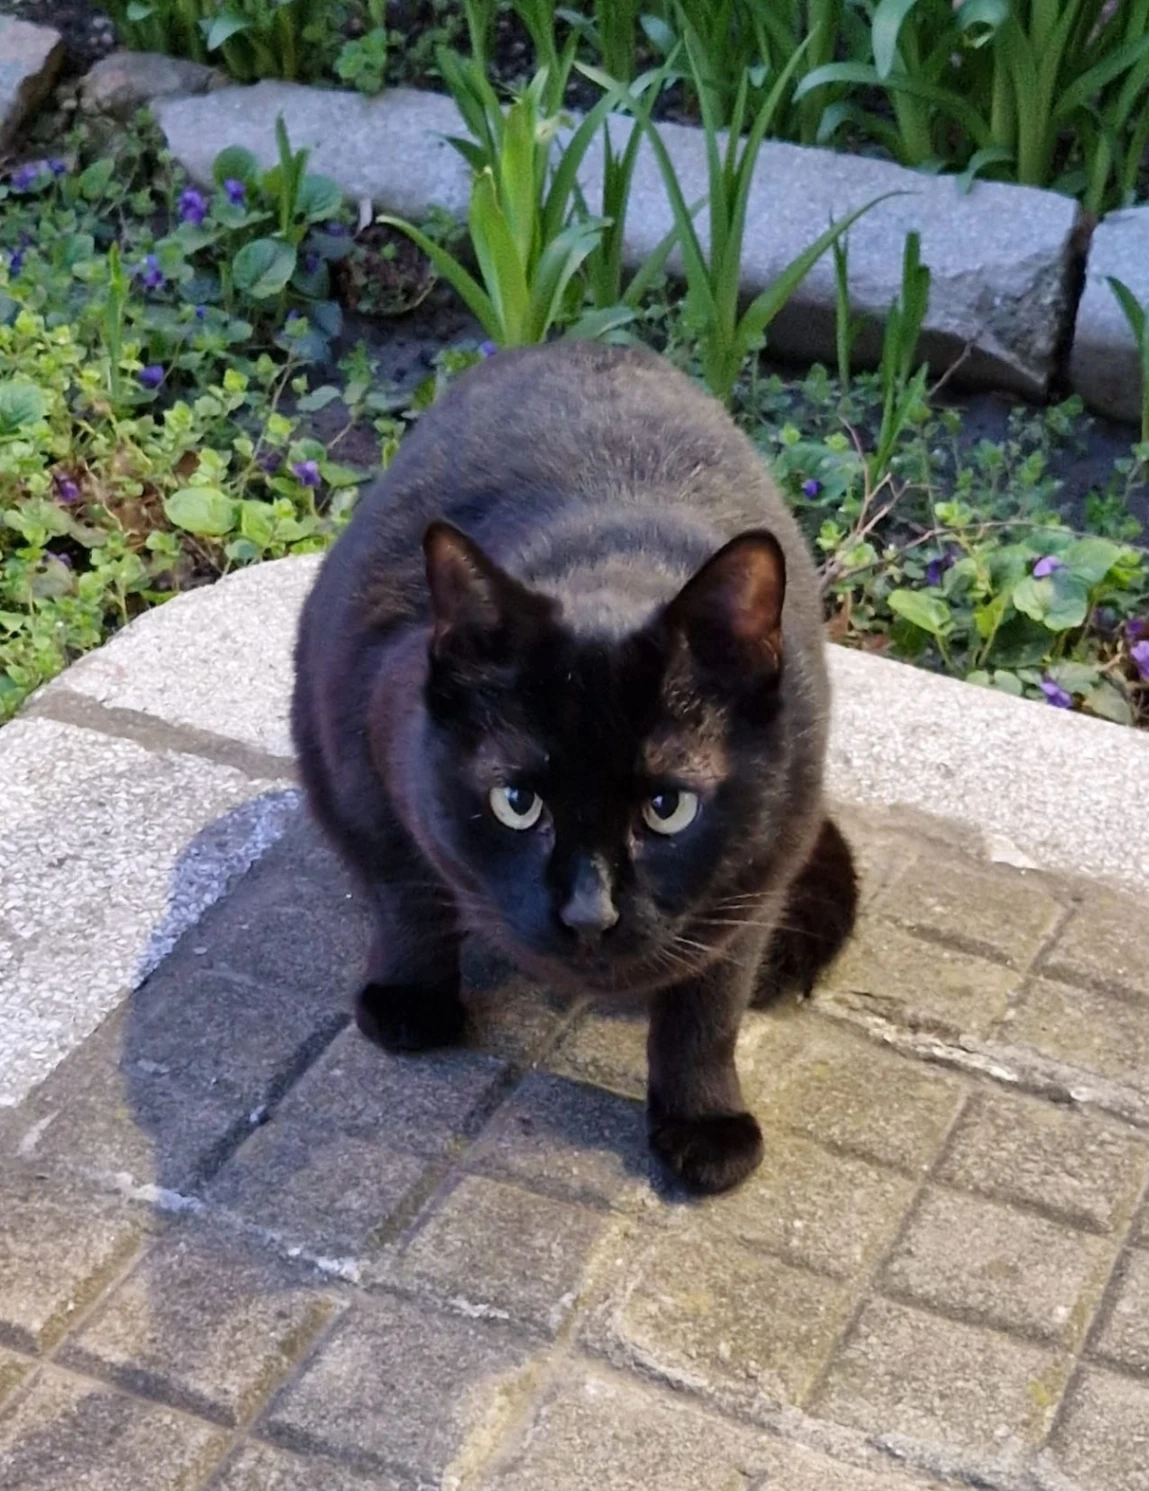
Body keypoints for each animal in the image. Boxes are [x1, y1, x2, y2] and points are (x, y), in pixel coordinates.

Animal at [291, 340, 857, 1194]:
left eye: (667, 807)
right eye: (517, 801)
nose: (589, 913)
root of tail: (583, 343)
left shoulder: (759, 870)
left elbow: (708, 1008)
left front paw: (703, 1119)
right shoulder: (357, 746)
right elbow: (406, 896)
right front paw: (411, 999)